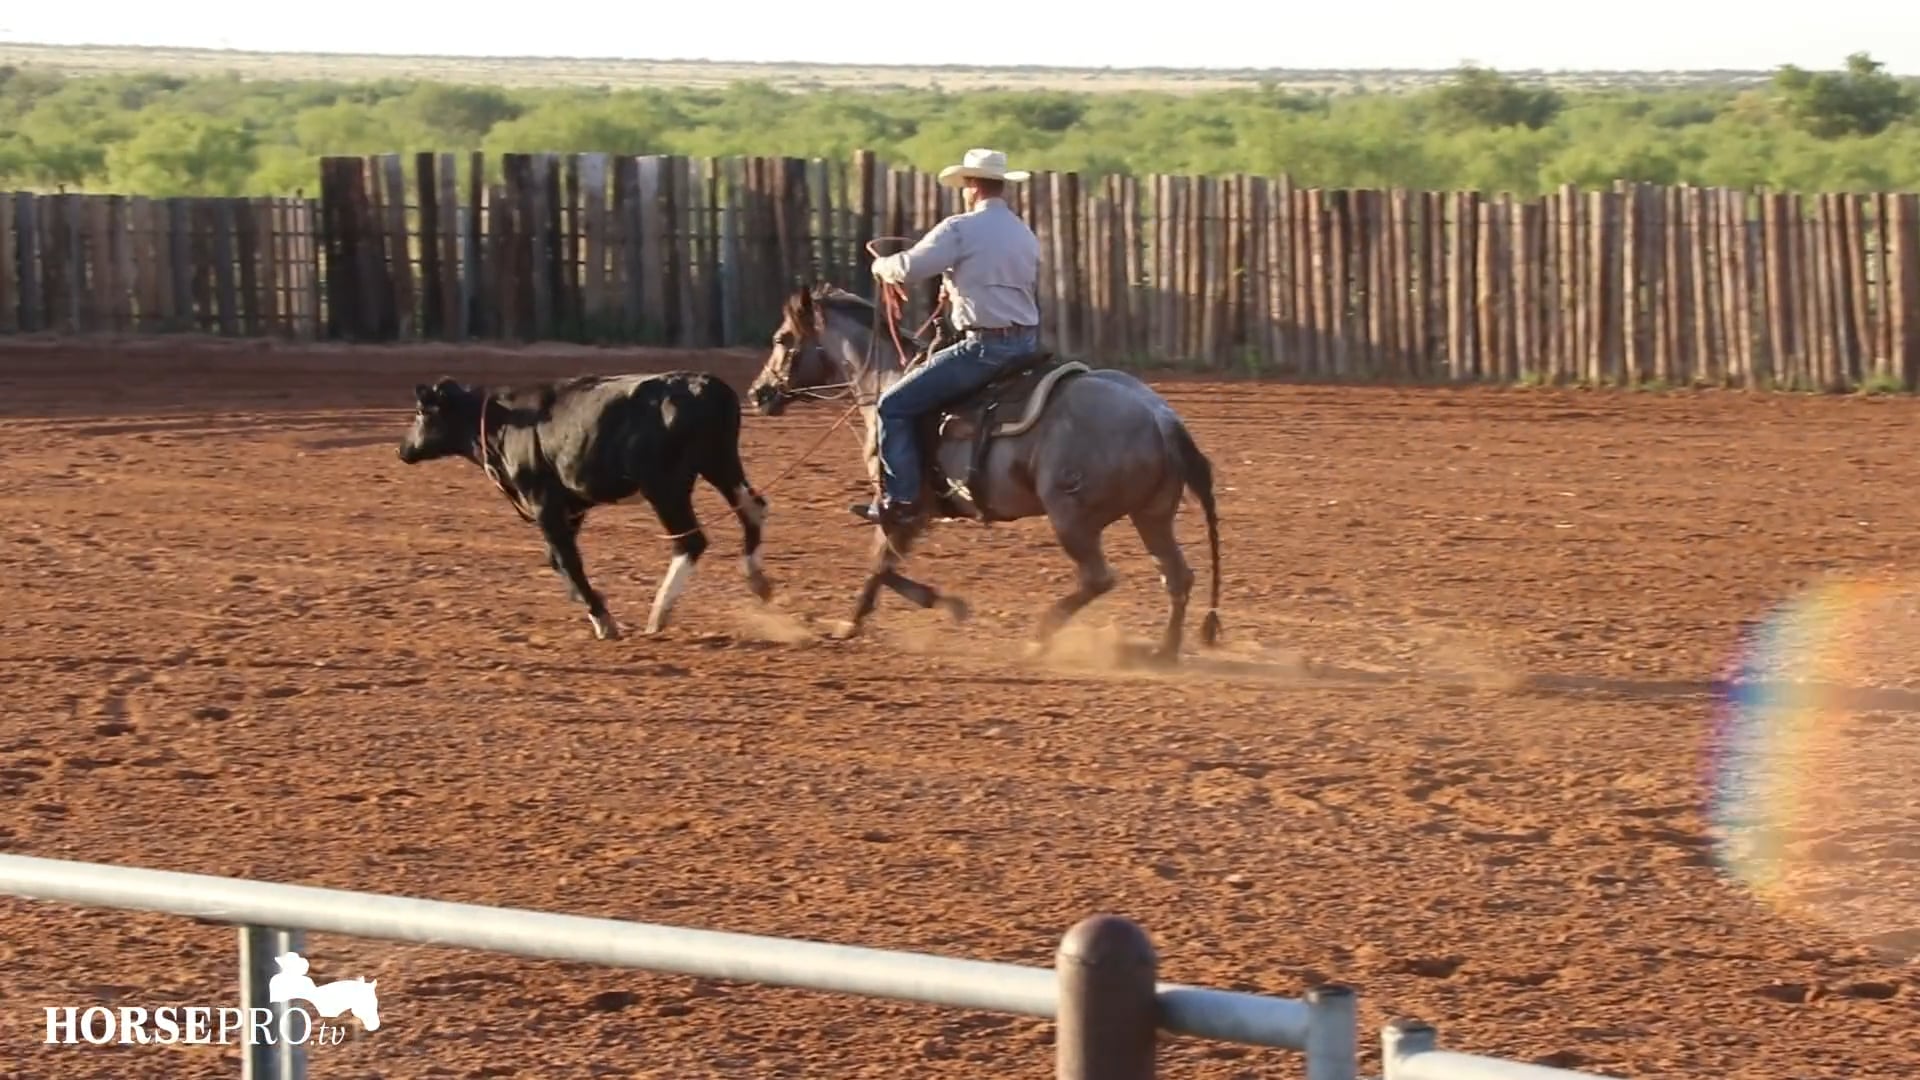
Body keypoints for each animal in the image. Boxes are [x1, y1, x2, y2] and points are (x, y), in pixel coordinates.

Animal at [747, 282, 1222, 663]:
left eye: (782, 338)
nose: (758, 393)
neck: (886, 378)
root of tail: (1161, 418)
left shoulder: (903, 508)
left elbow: (879, 564)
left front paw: (934, 607)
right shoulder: (916, 514)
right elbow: (881, 565)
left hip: (1073, 518)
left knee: (1099, 577)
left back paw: (1039, 637)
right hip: (1152, 516)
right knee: (1177, 576)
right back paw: (1165, 651)